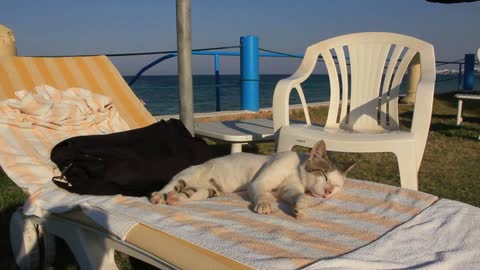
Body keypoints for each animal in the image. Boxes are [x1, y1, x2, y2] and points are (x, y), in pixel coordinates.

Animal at [150, 140, 356, 216]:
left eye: (337, 185)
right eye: (323, 174)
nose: (328, 191)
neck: (296, 170)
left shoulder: (289, 189)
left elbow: (295, 195)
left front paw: (301, 204)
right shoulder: (260, 180)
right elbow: (261, 192)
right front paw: (264, 204)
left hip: (207, 190)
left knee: (186, 193)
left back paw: (175, 199)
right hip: (189, 174)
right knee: (170, 185)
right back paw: (159, 196)